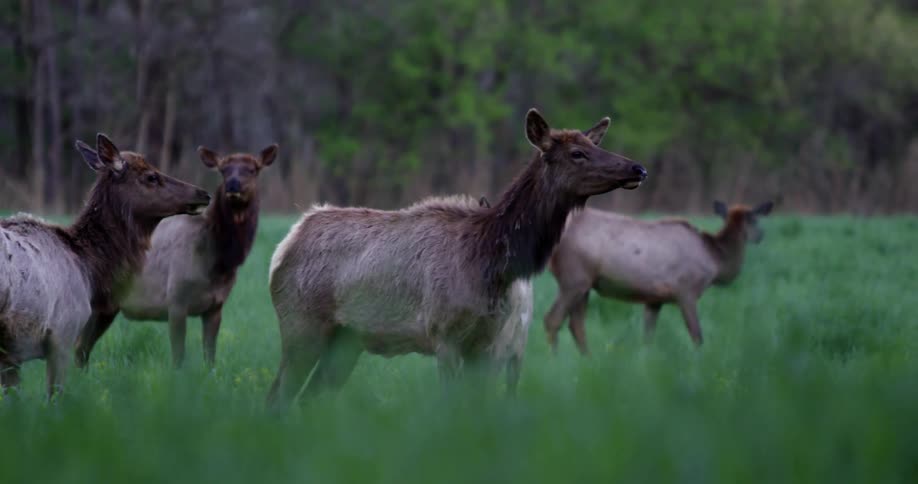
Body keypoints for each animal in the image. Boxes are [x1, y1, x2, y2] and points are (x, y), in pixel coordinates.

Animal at [74, 144, 278, 369]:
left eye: (253, 169)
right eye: (223, 170)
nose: (233, 185)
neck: (218, 261)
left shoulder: (216, 306)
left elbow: (210, 359)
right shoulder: (176, 299)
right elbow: (178, 357)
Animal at [265, 109, 647, 409]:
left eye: (595, 145)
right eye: (577, 153)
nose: (637, 168)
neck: (493, 264)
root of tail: (285, 245)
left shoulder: (488, 343)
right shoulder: (444, 334)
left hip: (347, 340)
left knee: (309, 397)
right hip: (301, 324)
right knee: (278, 396)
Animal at [544, 200, 773, 354]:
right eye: (755, 219)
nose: (761, 236)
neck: (714, 260)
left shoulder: (655, 298)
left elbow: (647, 338)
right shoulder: (686, 290)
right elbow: (697, 335)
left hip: (585, 283)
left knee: (576, 324)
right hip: (574, 277)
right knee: (552, 320)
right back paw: (556, 361)